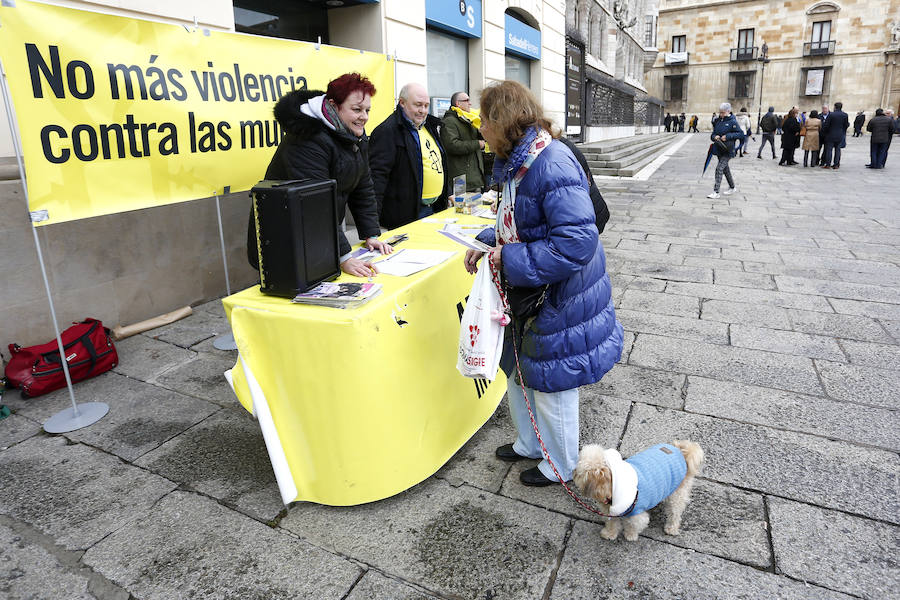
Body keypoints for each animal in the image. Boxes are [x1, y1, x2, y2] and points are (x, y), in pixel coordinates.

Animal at [572, 438, 708, 540]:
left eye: (579, 473)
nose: (572, 472)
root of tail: (682, 452)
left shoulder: (636, 514)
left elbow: (632, 525)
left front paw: (630, 535)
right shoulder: (611, 511)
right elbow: (612, 523)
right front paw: (609, 534)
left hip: (677, 495)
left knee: (675, 513)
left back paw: (671, 528)